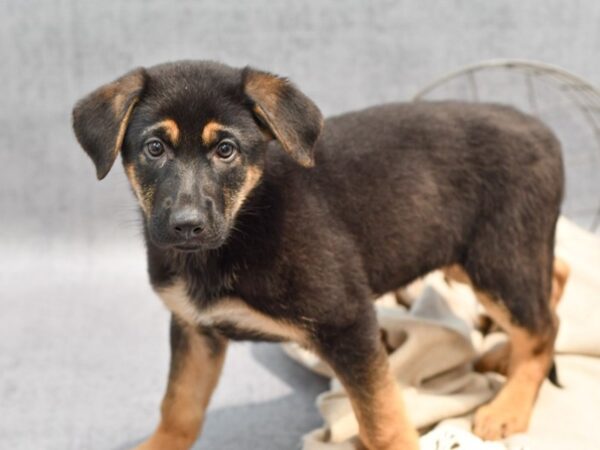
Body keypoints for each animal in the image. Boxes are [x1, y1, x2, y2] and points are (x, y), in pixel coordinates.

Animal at [72, 60, 564, 450]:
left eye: (226, 150)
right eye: (154, 148)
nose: (186, 226)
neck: (241, 227)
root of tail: (540, 128)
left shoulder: (348, 321)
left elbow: (382, 419)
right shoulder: (195, 328)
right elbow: (178, 407)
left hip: (498, 258)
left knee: (543, 328)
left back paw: (509, 406)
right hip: (475, 255)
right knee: (554, 281)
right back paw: (504, 355)